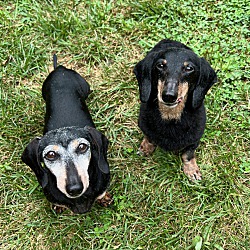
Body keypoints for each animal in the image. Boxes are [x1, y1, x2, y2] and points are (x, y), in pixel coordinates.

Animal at [21, 55, 111, 214]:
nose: (75, 188)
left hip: (85, 87)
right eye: (50, 155)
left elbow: (102, 193)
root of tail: (59, 69)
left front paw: (104, 198)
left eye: (82, 147)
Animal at [134, 38, 218, 180]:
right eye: (160, 65)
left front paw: (191, 169)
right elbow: (149, 138)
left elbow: (188, 154)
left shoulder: (194, 140)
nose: (169, 96)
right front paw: (146, 148)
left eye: (189, 68)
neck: (171, 116)